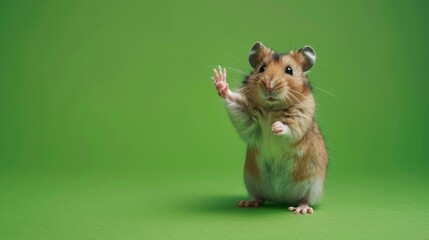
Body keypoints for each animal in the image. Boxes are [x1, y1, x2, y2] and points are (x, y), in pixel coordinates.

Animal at [211, 41, 328, 216]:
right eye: (262, 68)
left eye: (289, 70)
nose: (269, 85)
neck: (272, 108)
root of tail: (281, 199)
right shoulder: (247, 117)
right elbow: (235, 102)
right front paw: (221, 81)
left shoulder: (301, 118)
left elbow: (291, 129)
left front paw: (276, 126)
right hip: (252, 182)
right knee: (260, 198)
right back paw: (247, 203)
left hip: (313, 184)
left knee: (304, 198)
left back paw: (300, 209)